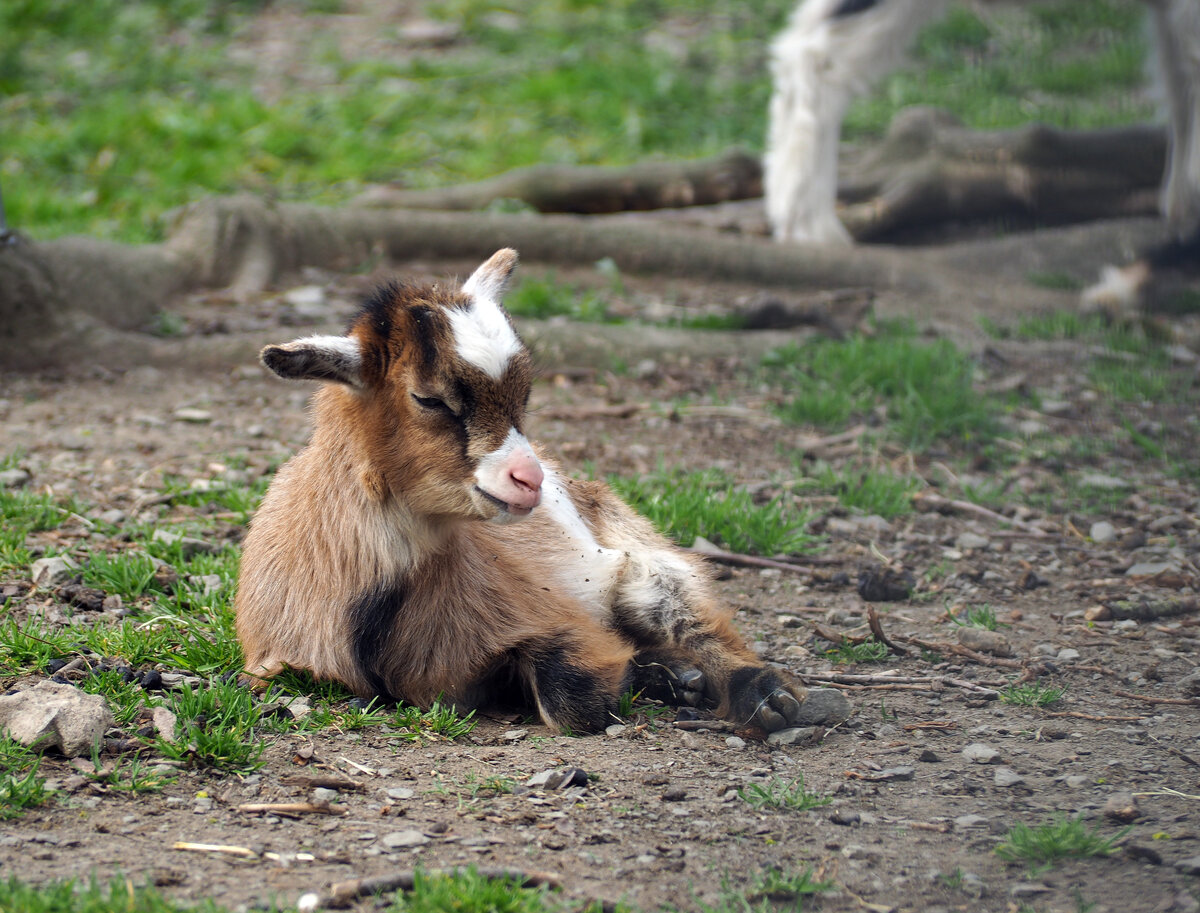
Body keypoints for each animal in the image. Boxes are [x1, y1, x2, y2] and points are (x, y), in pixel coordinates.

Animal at [236, 249, 806, 734]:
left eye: (524, 396)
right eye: (428, 398)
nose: (530, 479)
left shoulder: (549, 618)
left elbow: (575, 699)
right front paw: (658, 679)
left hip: (646, 557)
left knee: (692, 618)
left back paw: (763, 697)